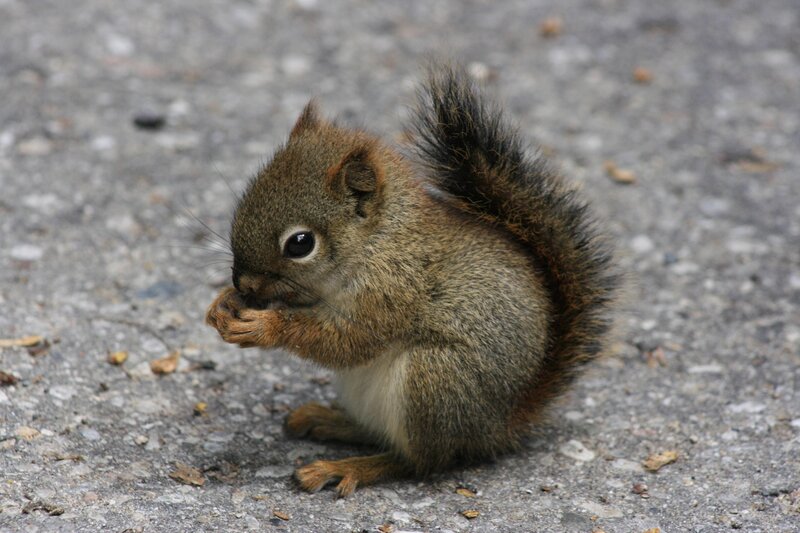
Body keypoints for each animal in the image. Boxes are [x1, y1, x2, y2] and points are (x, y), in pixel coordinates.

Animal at [205, 63, 619, 497]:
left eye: (300, 244)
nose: (245, 284)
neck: (378, 242)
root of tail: (498, 427)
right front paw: (223, 305)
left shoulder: (393, 291)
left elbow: (348, 341)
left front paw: (264, 326)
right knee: (379, 434)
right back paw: (329, 420)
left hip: (434, 380)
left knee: (419, 461)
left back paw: (347, 467)